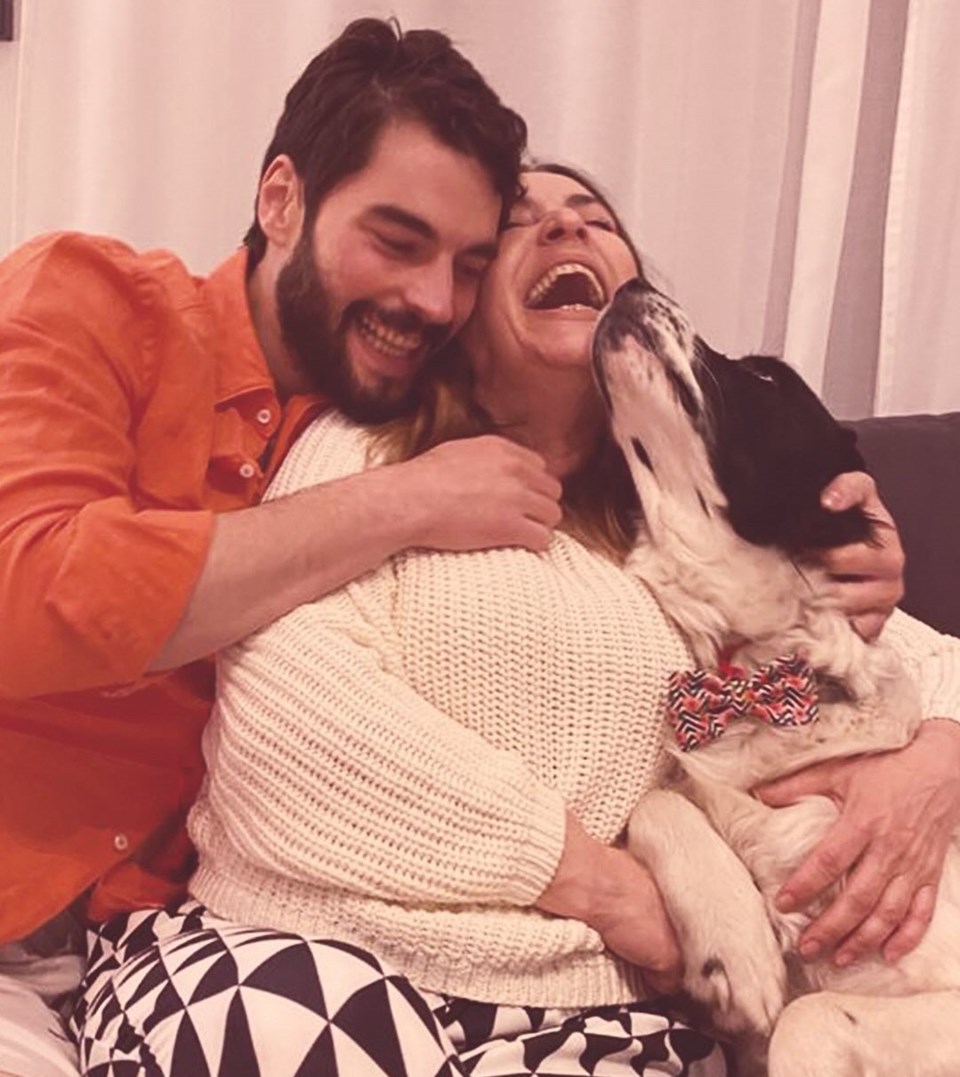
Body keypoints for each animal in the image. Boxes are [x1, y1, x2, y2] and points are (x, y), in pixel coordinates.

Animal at [591, 277, 960, 1077]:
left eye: (765, 378)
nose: (632, 283)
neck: (757, 677)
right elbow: (658, 804)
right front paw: (736, 953)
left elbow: (811, 1013)